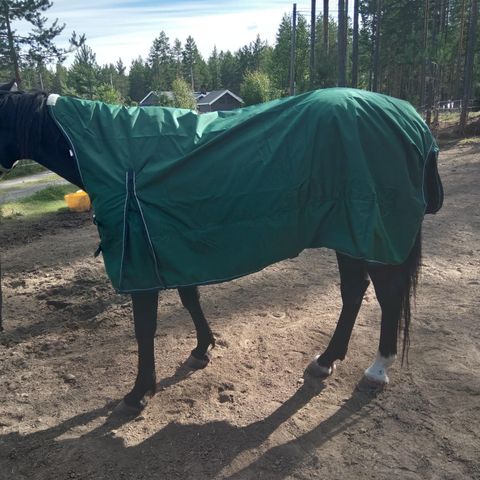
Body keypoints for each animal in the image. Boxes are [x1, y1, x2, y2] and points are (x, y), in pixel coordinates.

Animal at [0, 80, 442, 414]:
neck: (109, 151)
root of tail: (411, 119)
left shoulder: (141, 261)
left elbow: (144, 328)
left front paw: (139, 392)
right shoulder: (173, 245)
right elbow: (190, 298)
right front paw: (202, 349)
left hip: (372, 232)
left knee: (387, 296)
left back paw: (376, 370)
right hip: (350, 233)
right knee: (354, 292)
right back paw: (325, 361)